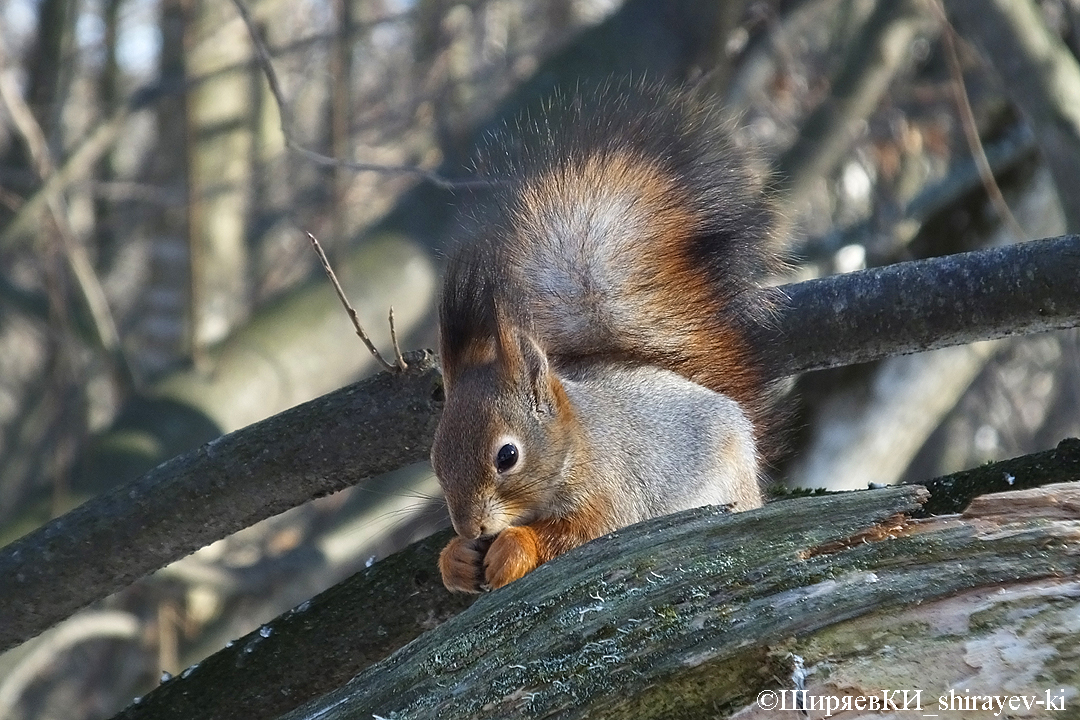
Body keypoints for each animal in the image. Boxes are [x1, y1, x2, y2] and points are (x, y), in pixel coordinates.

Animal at [429, 81, 786, 595]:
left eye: (507, 456)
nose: (470, 527)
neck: (577, 442)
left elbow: (583, 532)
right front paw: (455, 558)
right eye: (435, 460)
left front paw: (513, 549)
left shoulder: (614, 490)